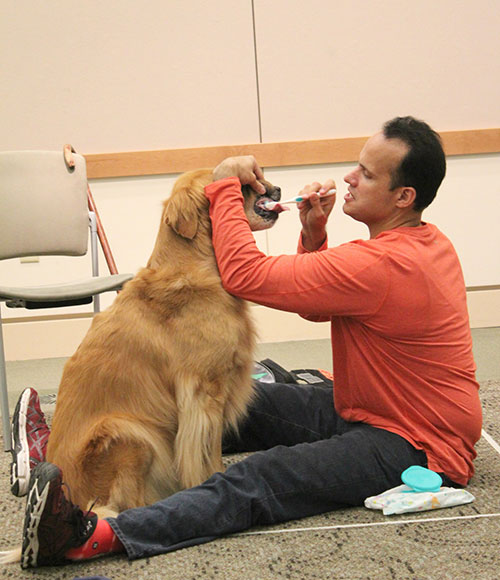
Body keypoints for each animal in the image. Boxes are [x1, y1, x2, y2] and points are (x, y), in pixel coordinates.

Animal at [45, 170, 282, 520]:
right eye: (243, 183)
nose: (276, 188)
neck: (194, 263)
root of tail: (67, 499)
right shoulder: (204, 392)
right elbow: (208, 451)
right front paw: (211, 479)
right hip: (130, 432)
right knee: (128, 504)